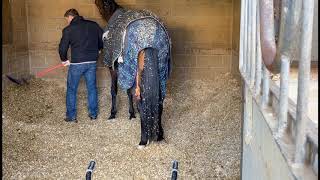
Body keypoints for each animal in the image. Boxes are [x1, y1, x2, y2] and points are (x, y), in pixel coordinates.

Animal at [95, 0, 171, 147]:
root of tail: (148, 39)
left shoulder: (115, 69)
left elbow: (115, 90)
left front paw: (113, 113)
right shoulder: (127, 73)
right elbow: (128, 92)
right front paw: (131, 114)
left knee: (141, 103)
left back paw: (143, 140)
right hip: (161, 72)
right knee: (159, 103)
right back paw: (159, 135)